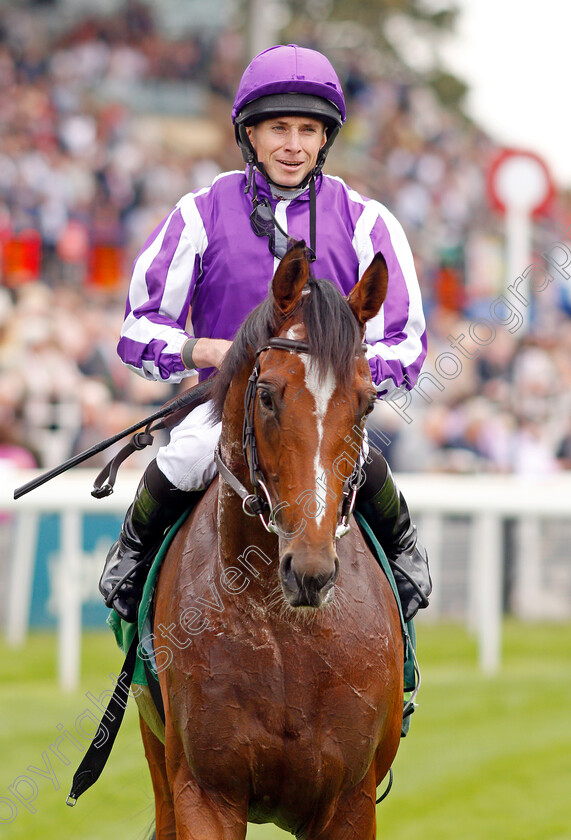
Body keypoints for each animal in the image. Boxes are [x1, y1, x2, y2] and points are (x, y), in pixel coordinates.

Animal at [137, 240, 406, 836]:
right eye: (266, 395)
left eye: (367, 402)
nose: (310, 571)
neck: (280, 627)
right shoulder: (203, 790)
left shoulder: (349, 799)